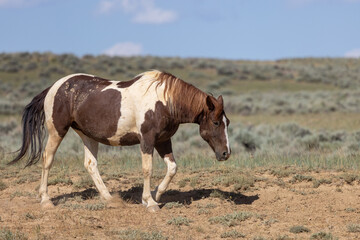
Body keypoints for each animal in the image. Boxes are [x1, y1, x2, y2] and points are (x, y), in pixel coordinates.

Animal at [9, 69, 232, 212]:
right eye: (215, 122)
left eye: (227, 122)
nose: (225, 153)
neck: (164, 101)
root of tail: (54, 87)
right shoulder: (147, 140)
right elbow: (147, 169)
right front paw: (149, 202)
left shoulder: (163, 140)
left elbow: (172, 168)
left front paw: (156, 194)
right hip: (57, 131)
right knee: (47, 159)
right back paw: (46, 200)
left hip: (88, 135)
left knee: (90, 164)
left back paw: (110, 199)